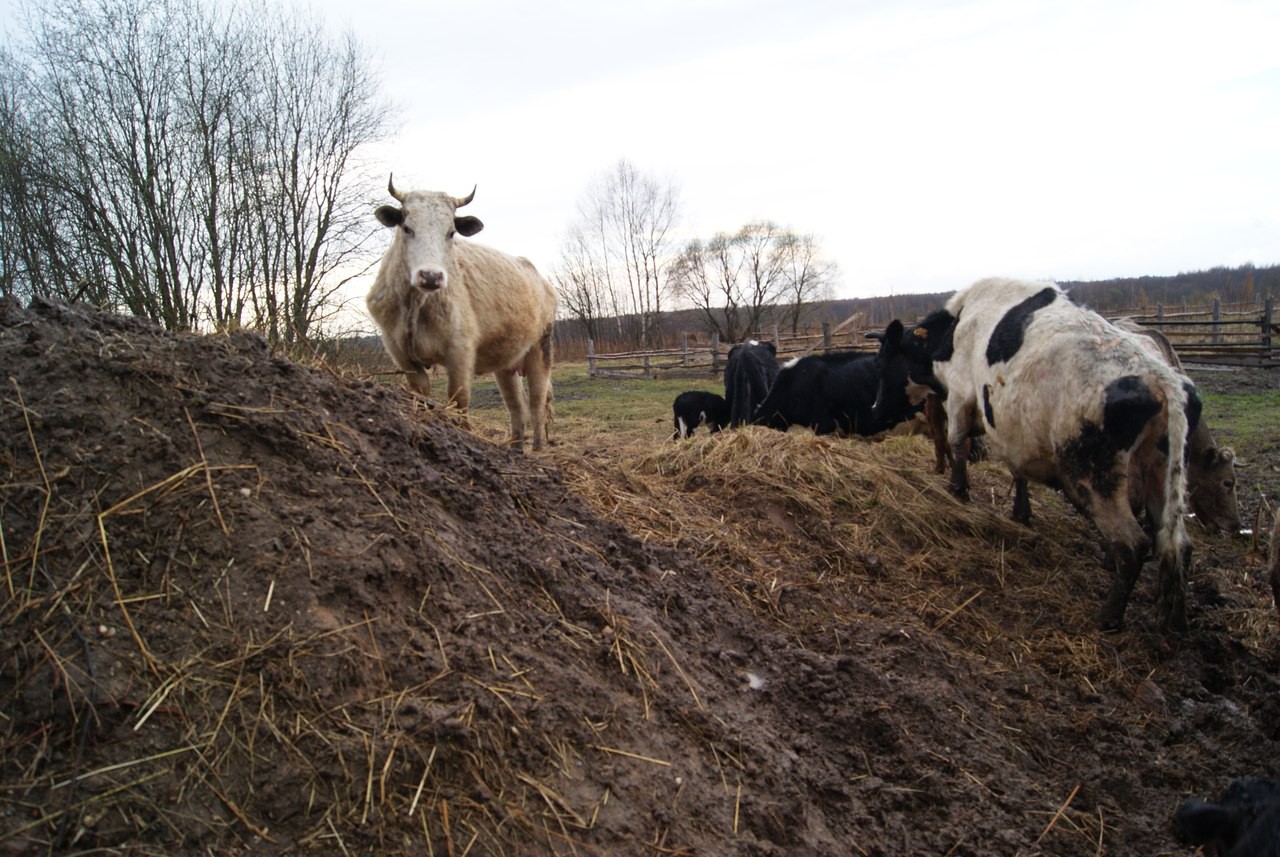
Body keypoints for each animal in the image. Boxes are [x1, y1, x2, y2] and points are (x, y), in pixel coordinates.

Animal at [366, 179, 555, 452]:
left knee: (537, 402)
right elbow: (421, 394)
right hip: (507, 364)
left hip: (541, 350)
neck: (416, 306)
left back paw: (538, 448)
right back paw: (515, 447)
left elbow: (458, 399)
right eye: (407, 228)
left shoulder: (460, 351)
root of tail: (541, 280)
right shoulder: (400, 352)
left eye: (451, 232)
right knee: (516, 404)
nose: (431, 276)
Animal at [870, 278, 1198, 634]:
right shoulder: (1013, 429)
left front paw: (958, 490)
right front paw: (1021, 512)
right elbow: (1018, 470)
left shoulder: (960, 396)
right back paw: (1174, 620)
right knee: (1177, 545)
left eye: (882, 361)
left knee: (1134, 545)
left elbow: (957, 443)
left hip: (1094, 477)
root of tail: (1163, 381)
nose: (875, 408)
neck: (954, 329)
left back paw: (1109, 616)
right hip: (1160, 475)